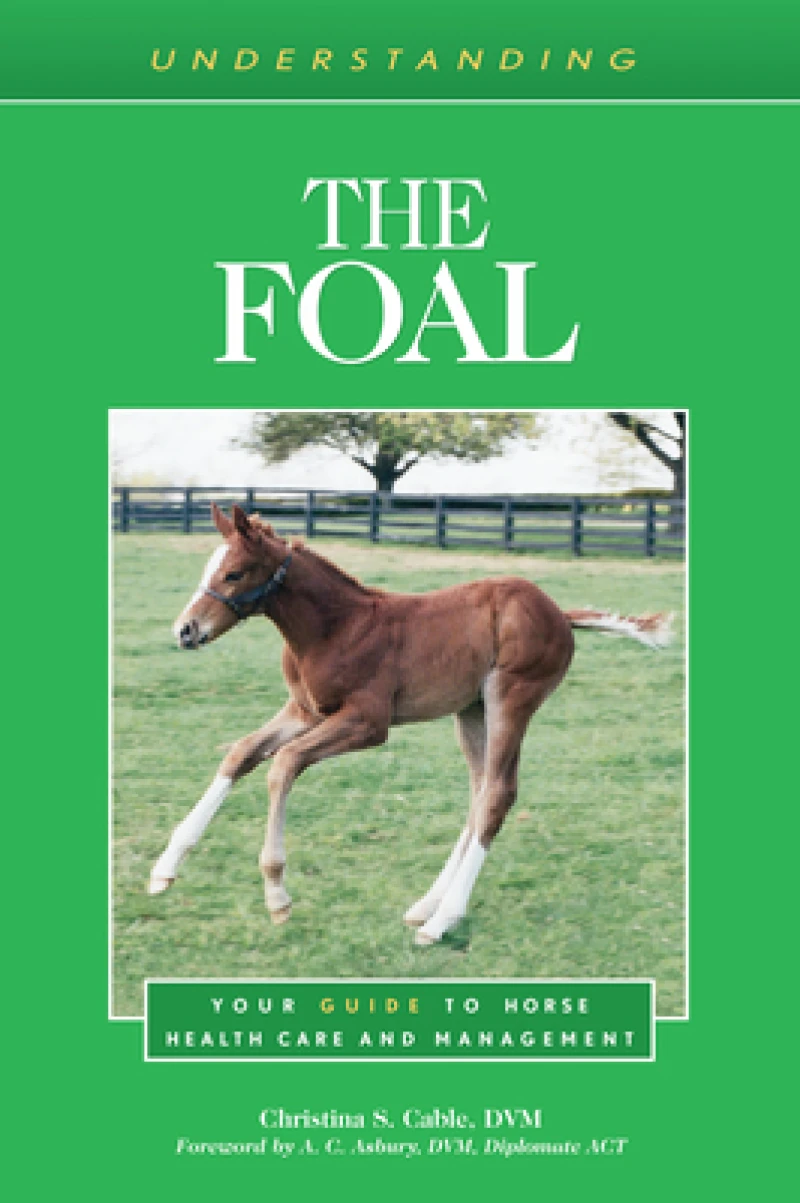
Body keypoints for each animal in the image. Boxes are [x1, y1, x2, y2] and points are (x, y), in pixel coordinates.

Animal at [147, 503, 673, 945]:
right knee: (481, 790)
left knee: (498, 796)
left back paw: (441, 922)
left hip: (511, 698)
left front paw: (277, 896)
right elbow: (242, 753)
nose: (185, 631)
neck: (334, 628)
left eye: (234, 573)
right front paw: (164, 870)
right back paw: (427, 905)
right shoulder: (305, 711)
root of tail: (559, 613)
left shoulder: (367, 723)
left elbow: (284, 764)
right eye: (208, 570)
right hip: (472, 710)